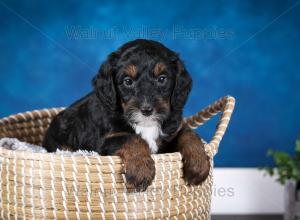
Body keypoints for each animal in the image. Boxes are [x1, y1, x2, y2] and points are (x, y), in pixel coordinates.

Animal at [43, 39, 210, 191]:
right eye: (127, 81)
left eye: (162, 79)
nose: (147, 110)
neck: (146, 125)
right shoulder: (104, 142)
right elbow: (132, 138)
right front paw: (140, 170)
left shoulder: (173, 129)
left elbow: (189, 134)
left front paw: (199, 163)